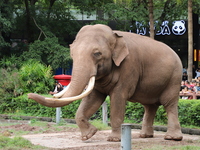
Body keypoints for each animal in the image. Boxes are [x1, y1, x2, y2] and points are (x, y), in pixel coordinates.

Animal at [28, 23, 183, 142]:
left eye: (97, 54)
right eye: (72, 53)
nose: (29, 95)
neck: (114, 35)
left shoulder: (129, 67)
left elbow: (118, 99)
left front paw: (114, 139)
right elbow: (92, 99)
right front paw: (88, 135)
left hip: (174, 77)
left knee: (169, 103)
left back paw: (172, 138)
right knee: (150, 106)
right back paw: (145, 136)